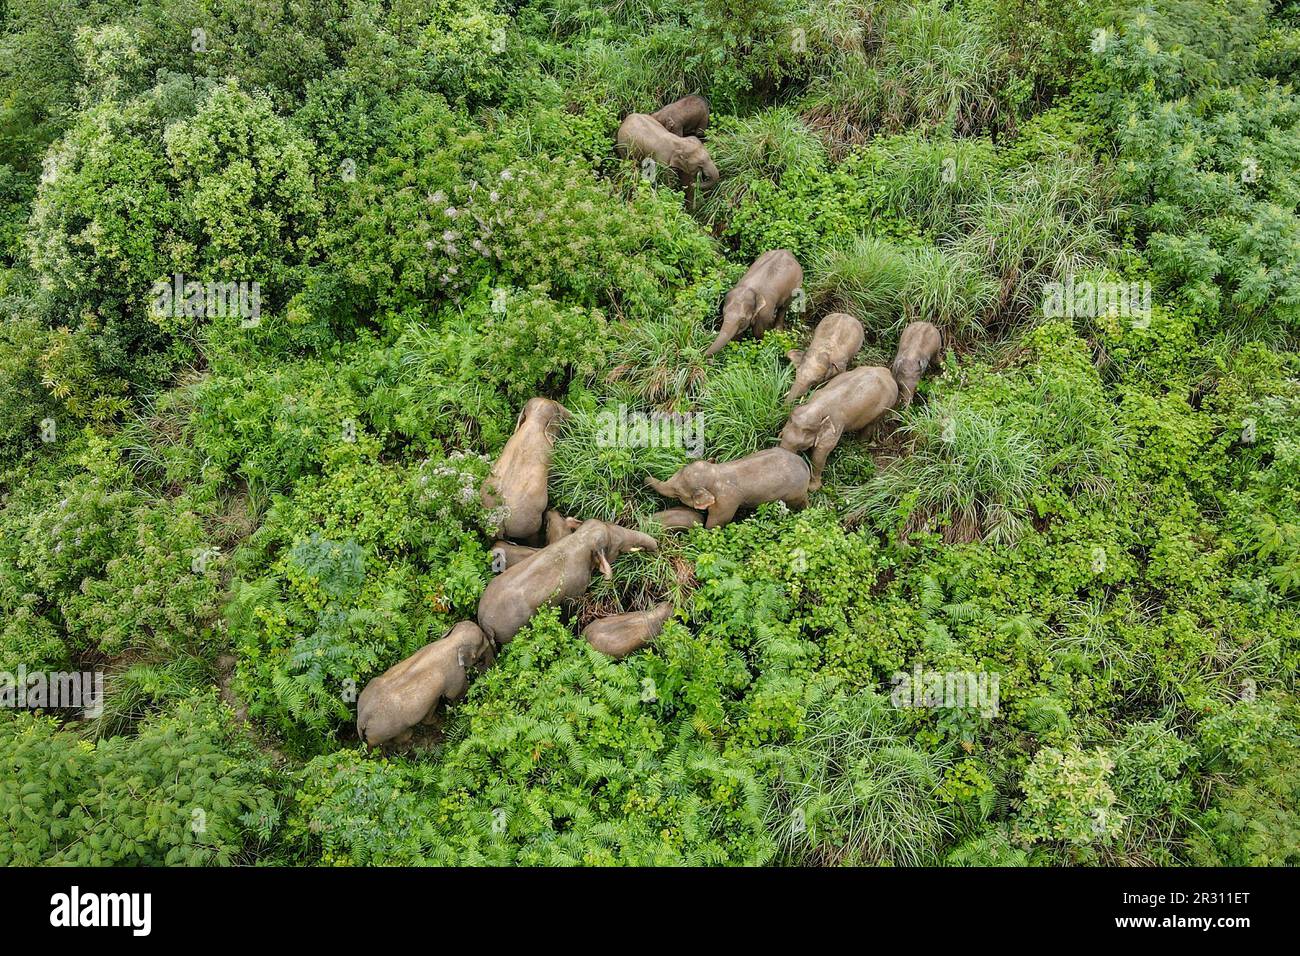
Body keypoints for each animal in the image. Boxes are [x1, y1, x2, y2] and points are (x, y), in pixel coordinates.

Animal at [356, 621, 496, 749]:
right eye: (484, 644)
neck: (452, 641)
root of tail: (362, 718)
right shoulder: (456, 675)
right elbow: (457, 694)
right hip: (385, 731)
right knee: (399, 736)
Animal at [478, 520, 660, 647]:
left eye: (610, 523)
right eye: (614, 546)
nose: (656, 547)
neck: (579, 539)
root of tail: (484, 622)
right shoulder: (576, 587)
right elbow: (572, 606)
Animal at [644, 444, 806, 528]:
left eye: (677, 492)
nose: (643, 476)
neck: (716, 473)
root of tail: (805, 466)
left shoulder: (725, 503)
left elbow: (715, 524)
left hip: (796, 494)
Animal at [774, 361, 899, 489]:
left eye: (801, 445)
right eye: (782, 434)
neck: (816, 407)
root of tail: (886, 371)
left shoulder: (835, 427)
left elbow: (820, 454)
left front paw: (813, 488)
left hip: (887, 404)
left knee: (871, 424)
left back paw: (860, 445)